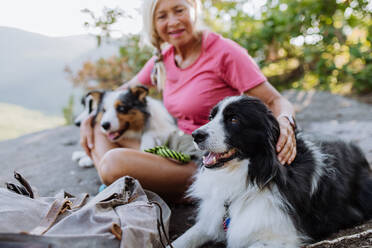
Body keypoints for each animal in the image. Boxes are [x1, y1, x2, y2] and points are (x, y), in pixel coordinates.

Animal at [172, 95, 372, 248]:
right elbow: (184, 238)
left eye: (234, 119)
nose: (196, 135)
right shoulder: (211, 218)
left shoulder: (280, 237)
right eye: (211, 118)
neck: (252, 174)